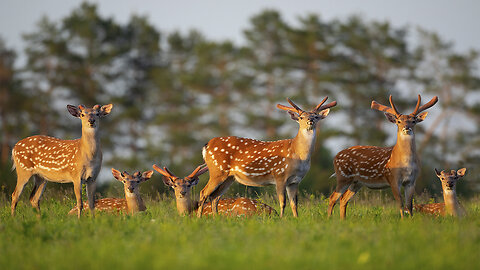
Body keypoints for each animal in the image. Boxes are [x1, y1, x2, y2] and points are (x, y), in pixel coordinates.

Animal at [197, 97, 336, 217]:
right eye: (301, 117)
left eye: (316, 116)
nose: (310, 121)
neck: (298, 155)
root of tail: (206, 146)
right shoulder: (280, 175)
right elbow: (282, 202)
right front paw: (281, 219)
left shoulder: (295, 181)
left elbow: (294, 204)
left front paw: (296, 219)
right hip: (217, 170)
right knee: (203, 192)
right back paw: (198, 218)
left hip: (229, 177)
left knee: (215, 197)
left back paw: (216, 218)